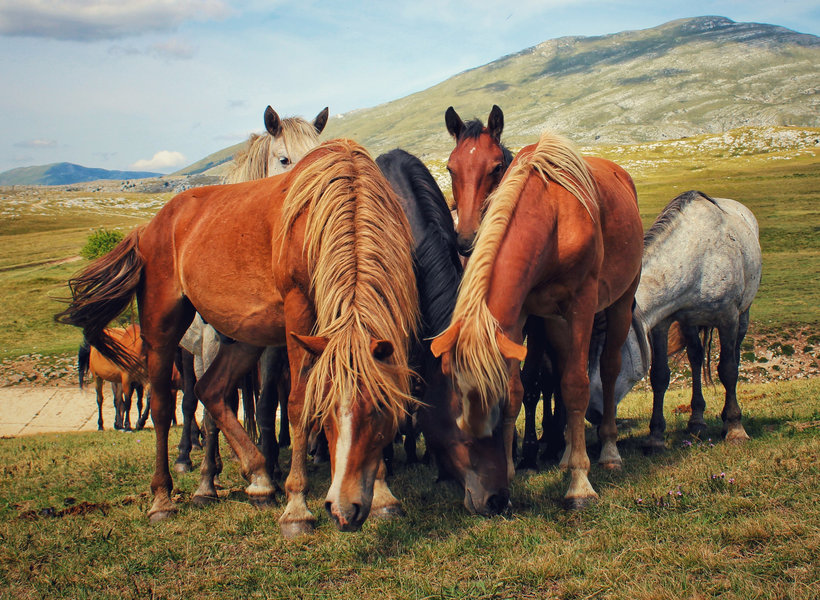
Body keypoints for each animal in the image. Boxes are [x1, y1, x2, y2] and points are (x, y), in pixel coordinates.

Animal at [56, 139, 419, 537]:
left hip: (246, 335)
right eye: (324, 414)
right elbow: (296, 403)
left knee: (211, 390)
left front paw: (382, 494)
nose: (343, 509)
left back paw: (259, 478)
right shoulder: (299, 313)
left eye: (381, 410)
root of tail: (149, 227)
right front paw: (297, 507)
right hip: (162, 328)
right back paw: (163, 498)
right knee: (165, 407)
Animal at [432, 131, 644, 510]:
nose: (490, 500)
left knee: (606, 369)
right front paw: (513, 469)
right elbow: (519, 389)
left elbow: (576, 386)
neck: (553, 213)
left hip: (619, 302)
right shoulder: (520, 318)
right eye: (454, 423)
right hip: (556, 323)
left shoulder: (581, 304)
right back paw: (565, 452)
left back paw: (608, 451)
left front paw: (579, 484)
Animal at [587, 191, 761, 448]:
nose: (592, 412)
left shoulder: (728, 317)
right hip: (689, 323)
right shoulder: (663, 322)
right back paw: (696, 422)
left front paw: (735, 428)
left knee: (734, 357)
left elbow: (728, 369)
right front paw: (655, 437)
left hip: (743, 315)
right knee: (696, 358)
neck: (698, 258)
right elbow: (659, 376)